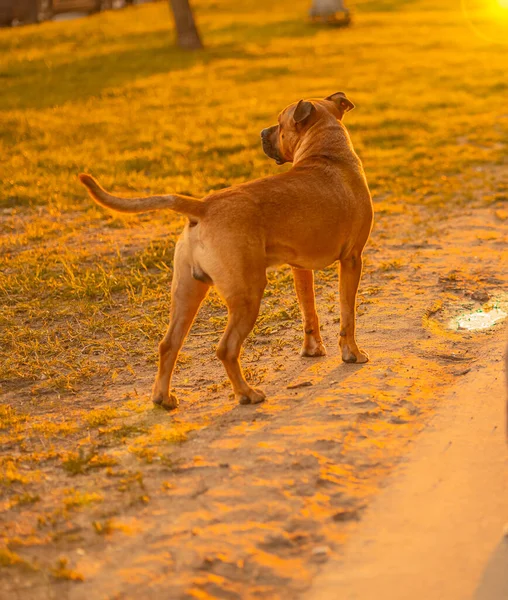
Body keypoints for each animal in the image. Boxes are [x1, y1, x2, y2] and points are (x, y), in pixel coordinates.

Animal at [79, 94, 374, 410]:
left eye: (279, 124)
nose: (262, 132)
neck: (327, 151)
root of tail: (203, 205)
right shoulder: (352, 259)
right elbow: (347, 314)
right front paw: (352, 353)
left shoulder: (300, 268)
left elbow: (309, 313)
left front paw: (312, 350)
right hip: (247, 296)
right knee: (226, 349)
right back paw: (246, 393)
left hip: (187, 294)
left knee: (169, 344)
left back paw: (163, 397)